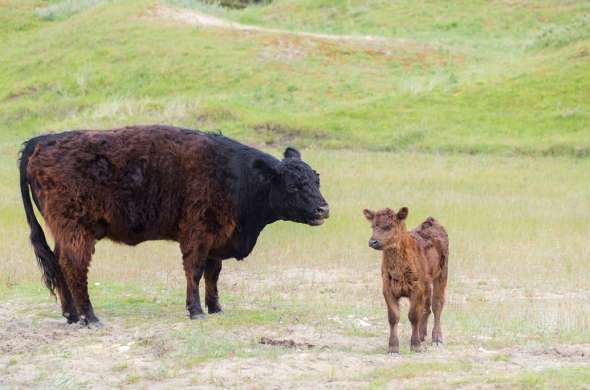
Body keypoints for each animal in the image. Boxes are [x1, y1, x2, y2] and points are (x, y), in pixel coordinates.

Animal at [19, 125, 332, 326]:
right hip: (77, 231)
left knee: (59, 265)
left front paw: (216, 308)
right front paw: (196, 311)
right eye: (293, 185)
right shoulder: (198, 234)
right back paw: (91, 318)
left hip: (64, 232)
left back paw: (71, 315)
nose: (323, 209)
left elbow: (213, 273)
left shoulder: (217, 238)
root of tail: (42, 140)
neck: (239, 176)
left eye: (316, 179)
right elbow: (194, 271)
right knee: (74, 267)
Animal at [366, 207, 448, 354]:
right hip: (427, 284)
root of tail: (431, 222)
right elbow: (394, 317)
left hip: (441, 275)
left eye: (389, 226)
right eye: (373, 226)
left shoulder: (416, 288)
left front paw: (415, 345)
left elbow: (413, 315)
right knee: (426, 307)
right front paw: (393, 347)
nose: (372, 242)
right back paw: (422, 335)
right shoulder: (388, 289)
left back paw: (437, 339)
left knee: (437, 305)